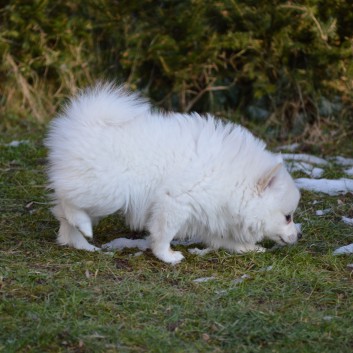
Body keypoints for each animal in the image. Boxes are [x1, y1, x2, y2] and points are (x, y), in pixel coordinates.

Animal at [45, 84, 302, 262]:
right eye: (287, 217)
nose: (297, 236)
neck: (232, 180)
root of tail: (83, 123)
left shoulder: (214, 214)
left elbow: (227, 239)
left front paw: (250, 248)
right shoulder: (174, 203)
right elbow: (163, 233)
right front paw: (167, 256)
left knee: (63, 213)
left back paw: (80, 244)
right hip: (106, 192)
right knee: (67, 203)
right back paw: (83, 227)